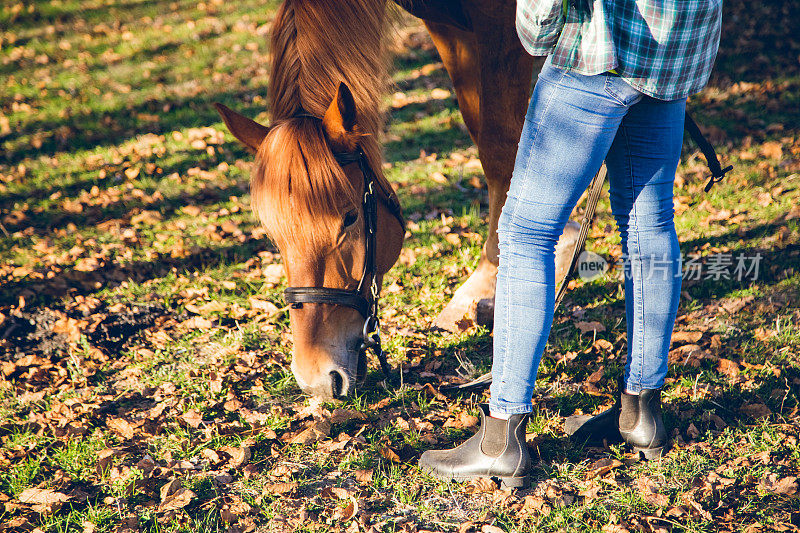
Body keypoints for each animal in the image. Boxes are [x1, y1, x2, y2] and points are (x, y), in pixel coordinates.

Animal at [216, 0, 580, 396]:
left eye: (349, 218)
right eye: (273, 234)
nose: (316, 379)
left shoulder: (501, 24)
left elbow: (501, 144)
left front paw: (496, 281)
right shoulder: (446, 24)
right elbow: (482, 129)